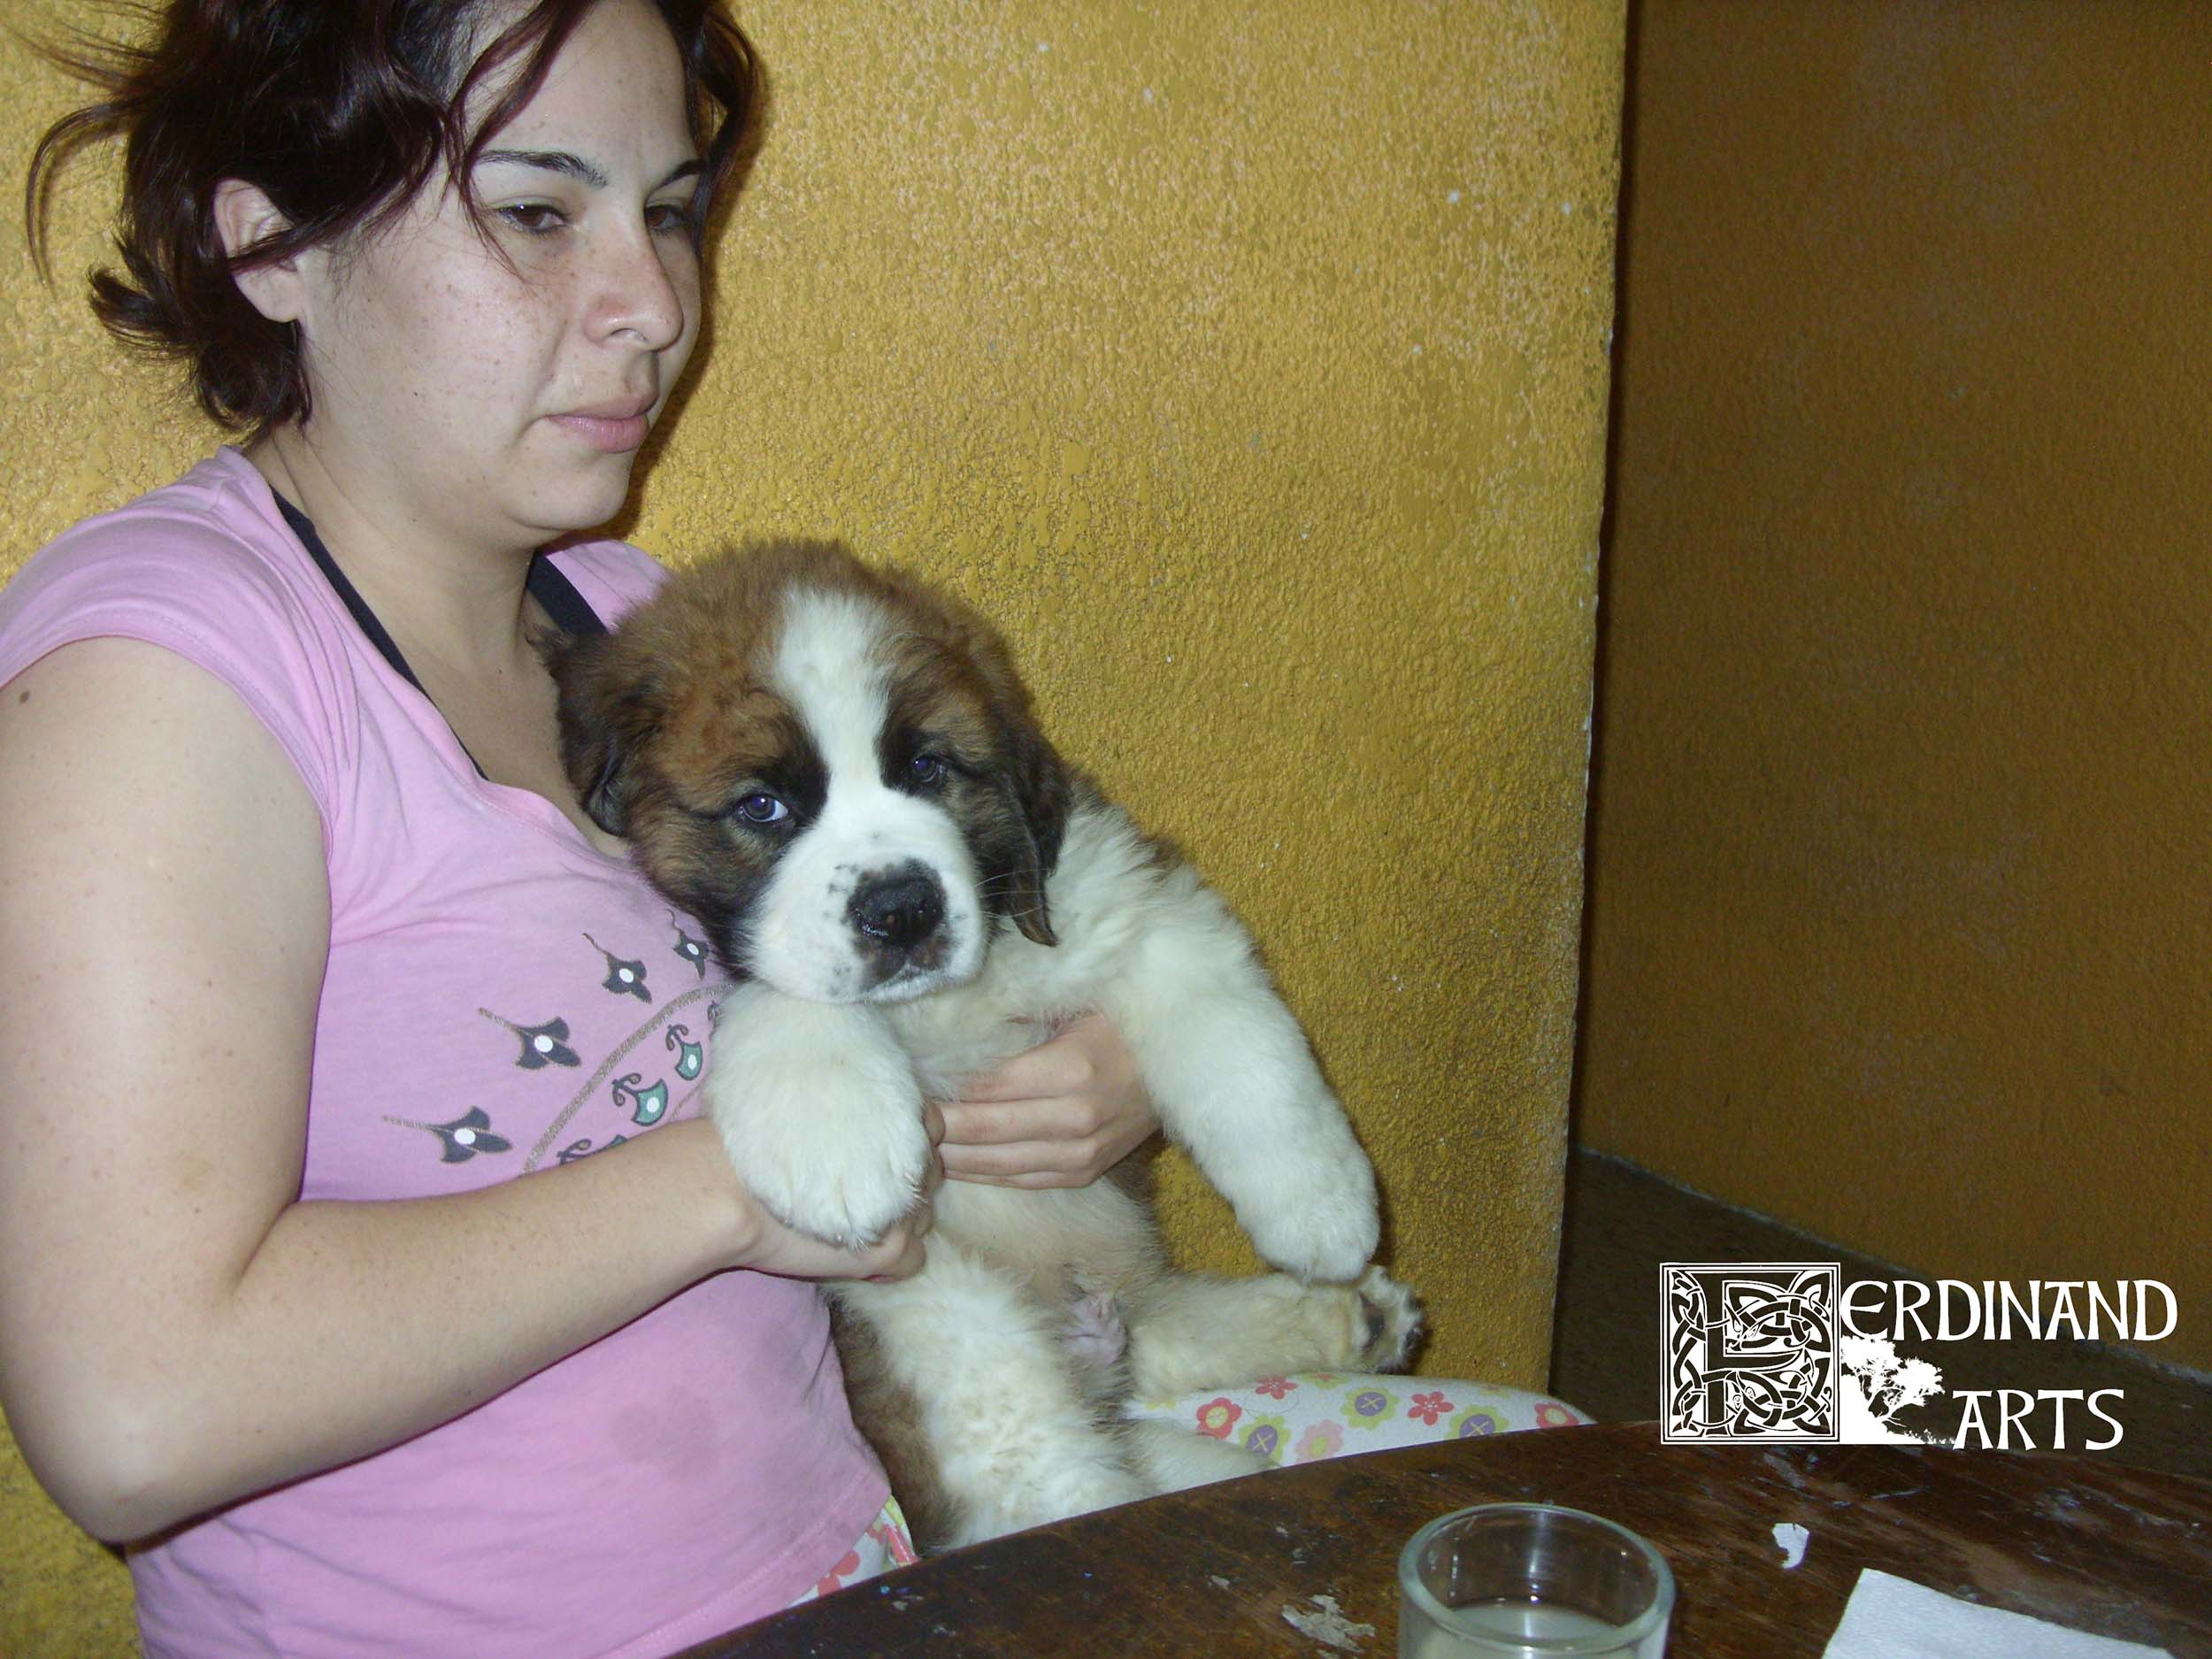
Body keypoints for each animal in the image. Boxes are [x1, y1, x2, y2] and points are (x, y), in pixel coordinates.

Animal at [546, 549, 1425, 1557]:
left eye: (929, 768)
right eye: (762, 807)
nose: (901, 910)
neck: (944, 1008)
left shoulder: (1129, 904)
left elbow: (1244, 1049)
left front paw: (1325, 1209)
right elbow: (785, 991)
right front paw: (836, 1141)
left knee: (1167, 1328)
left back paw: (1350, 1313)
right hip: (958, 1347)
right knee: (1070, 1474)